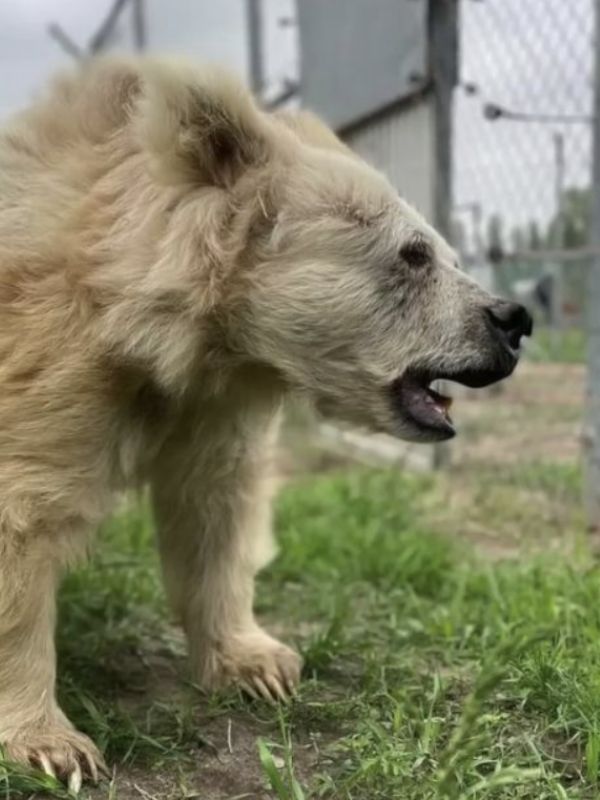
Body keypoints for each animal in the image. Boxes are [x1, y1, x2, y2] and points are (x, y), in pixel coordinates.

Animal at [0, 57, 528, 788]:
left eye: (447, 254)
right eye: (413, 253)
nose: (512, 321)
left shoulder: (214, 405)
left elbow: (216, 511)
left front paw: (261, 664)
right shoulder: (45, 369)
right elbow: (24, 523)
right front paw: (56, 748)